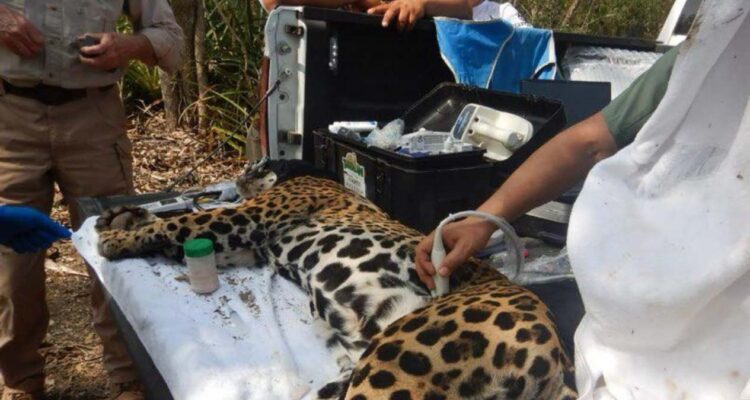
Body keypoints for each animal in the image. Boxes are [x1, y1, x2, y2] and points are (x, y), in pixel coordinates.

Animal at [95, 159, 576, 399]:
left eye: (258, 166)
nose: (238, 177)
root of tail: (559, 357)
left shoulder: (247, 219)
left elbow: (180, 223)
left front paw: (116, 238)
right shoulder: (247, 245)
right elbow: (177, 227)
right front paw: (122, 216)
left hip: (394, 364)